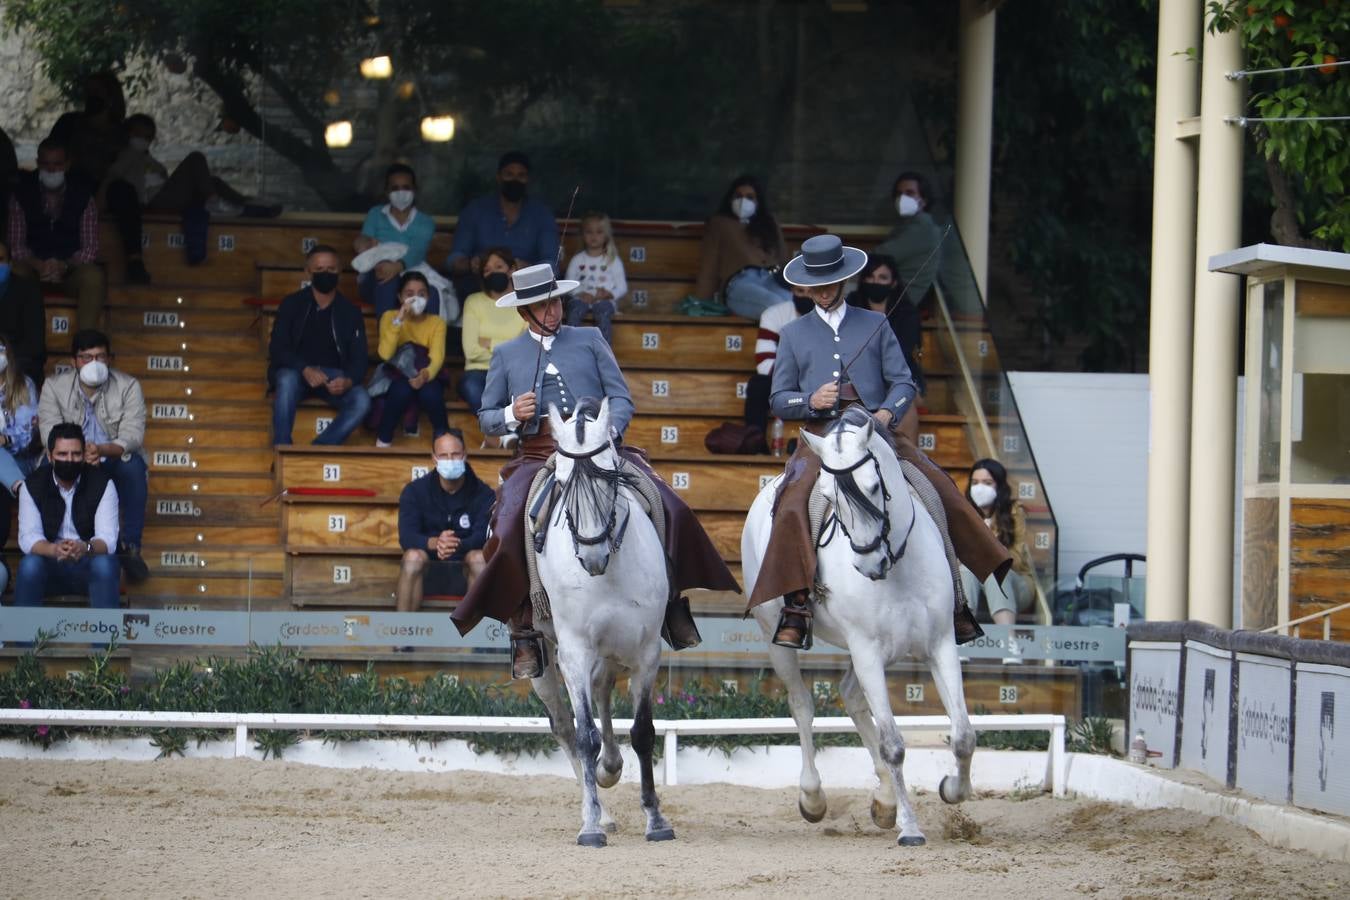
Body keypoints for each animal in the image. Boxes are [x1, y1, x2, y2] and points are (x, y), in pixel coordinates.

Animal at [526, 396, 675, 847]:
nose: (592, 556)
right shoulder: (574, 652)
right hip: (544, 657)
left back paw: (611, 768)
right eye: (560, 483)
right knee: (564, 725)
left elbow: (643, 732)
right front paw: (591, 824)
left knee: (604, 692)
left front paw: (656, 819)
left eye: (609, 478)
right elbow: (584, 734)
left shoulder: (647, 652)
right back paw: (601, 809)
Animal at [745, 412, 977, 847]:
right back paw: (814, 797)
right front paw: (910, 828)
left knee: (852, 697)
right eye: (828, 495)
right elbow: (894, 745)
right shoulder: (867, 649)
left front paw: (953, 791)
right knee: (802, 704)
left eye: (873, 485)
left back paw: (884, 800)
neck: (899, 566)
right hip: (780, 639)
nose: (870, 565)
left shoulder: (940, 644)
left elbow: (963, 736)